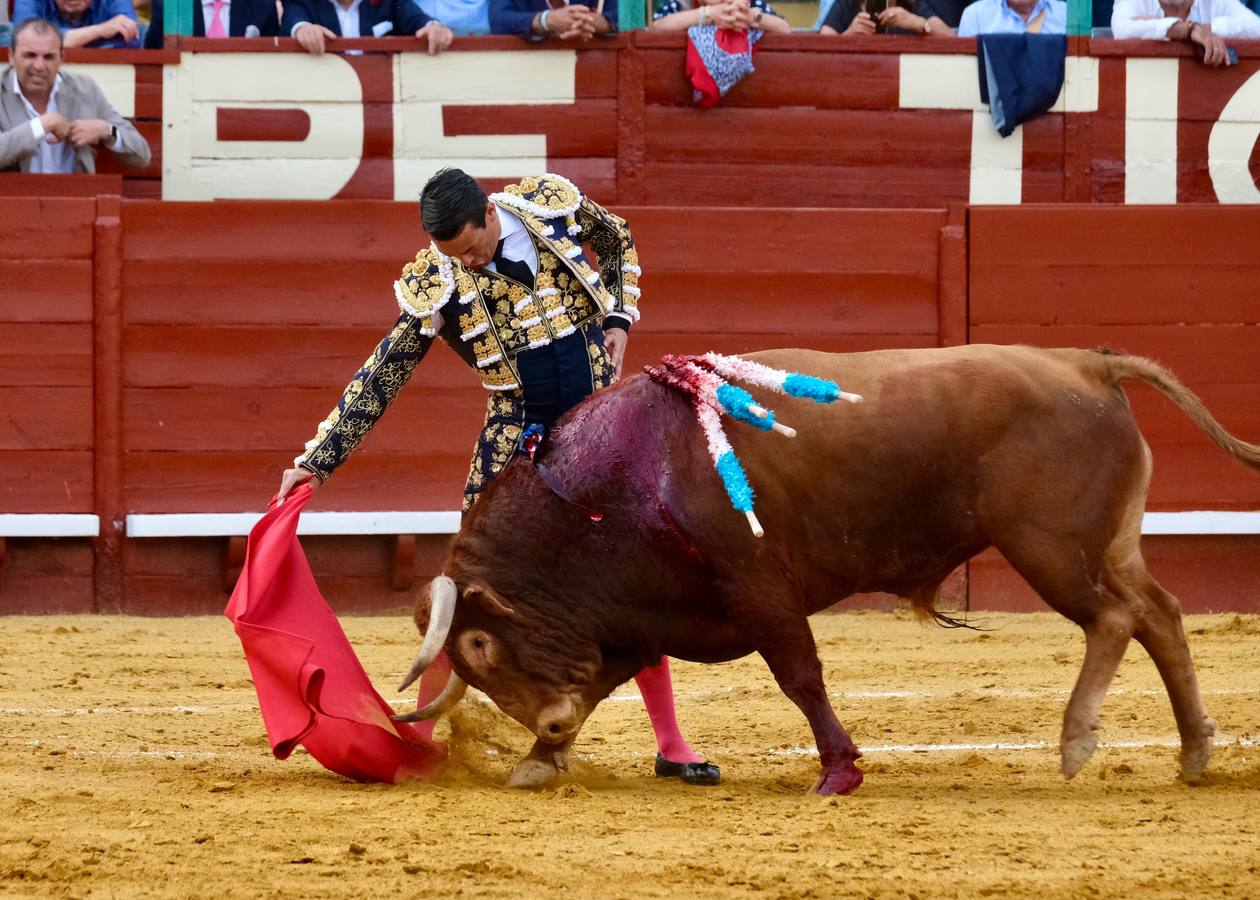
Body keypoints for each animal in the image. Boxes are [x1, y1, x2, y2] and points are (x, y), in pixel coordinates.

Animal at [393, 342, 1260, 791]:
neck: (610, 487)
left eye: (477, 645)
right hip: (1107, 544)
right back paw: (1194, 753)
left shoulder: (760, 592)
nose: (546, 722)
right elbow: (608, 681)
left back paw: (1078, 743)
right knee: (1161, 614)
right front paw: (540, 762)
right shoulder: (642, 617)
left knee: (1116, 618)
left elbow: (800, 677)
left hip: (1048, 548)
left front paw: (838, 771)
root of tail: (1086, 364)